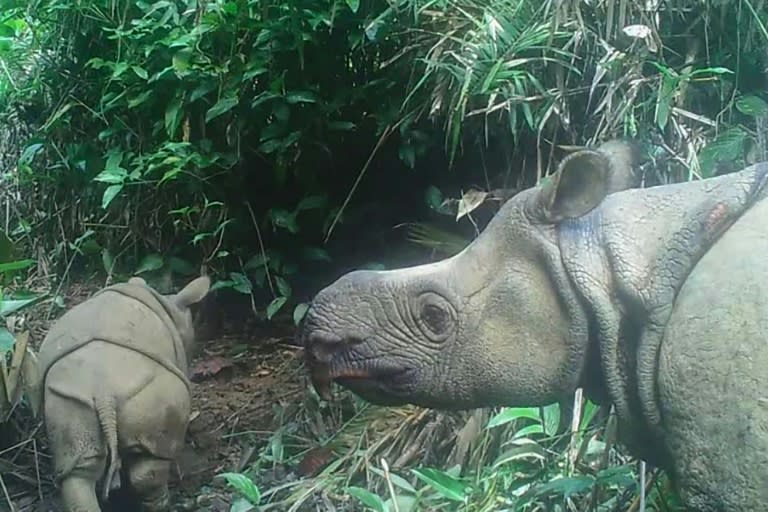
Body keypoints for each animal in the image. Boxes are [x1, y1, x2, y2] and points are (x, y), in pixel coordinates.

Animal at [36, 276, 210, 512]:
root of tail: (103, 393)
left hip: (67, 399)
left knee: (79, 471)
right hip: (150, 394)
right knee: (151, 460)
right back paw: (165, 504)